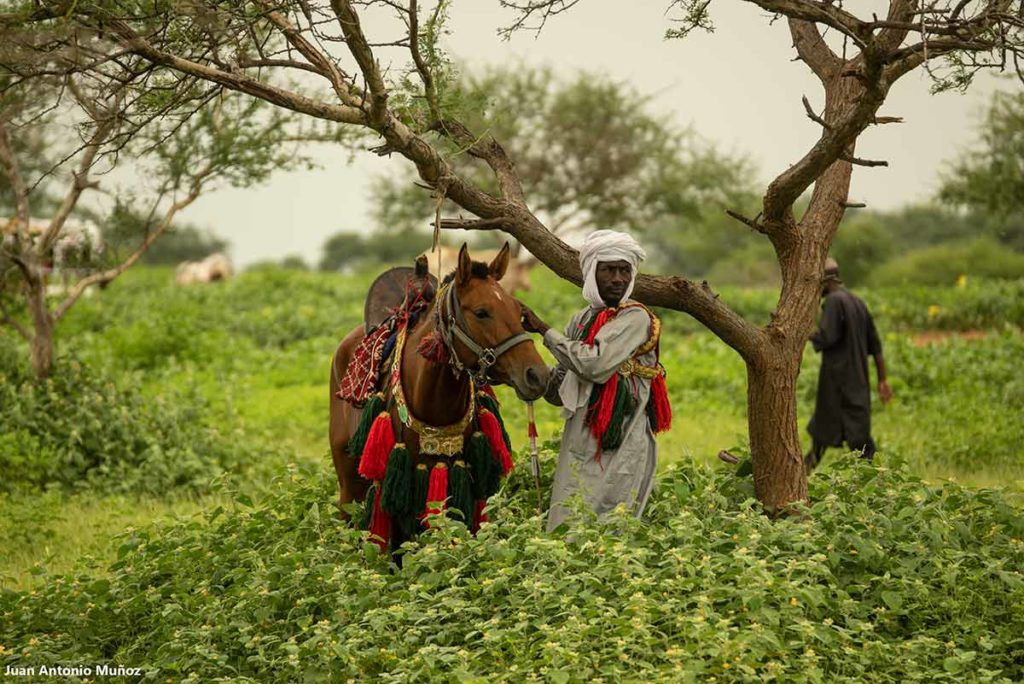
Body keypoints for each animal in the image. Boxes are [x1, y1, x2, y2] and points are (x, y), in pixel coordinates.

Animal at [329, 242, 552, 540]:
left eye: (519, 311)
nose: (537, 375)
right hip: (348, 486)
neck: (433, 401)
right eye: (481, 312)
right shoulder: (391, 493)